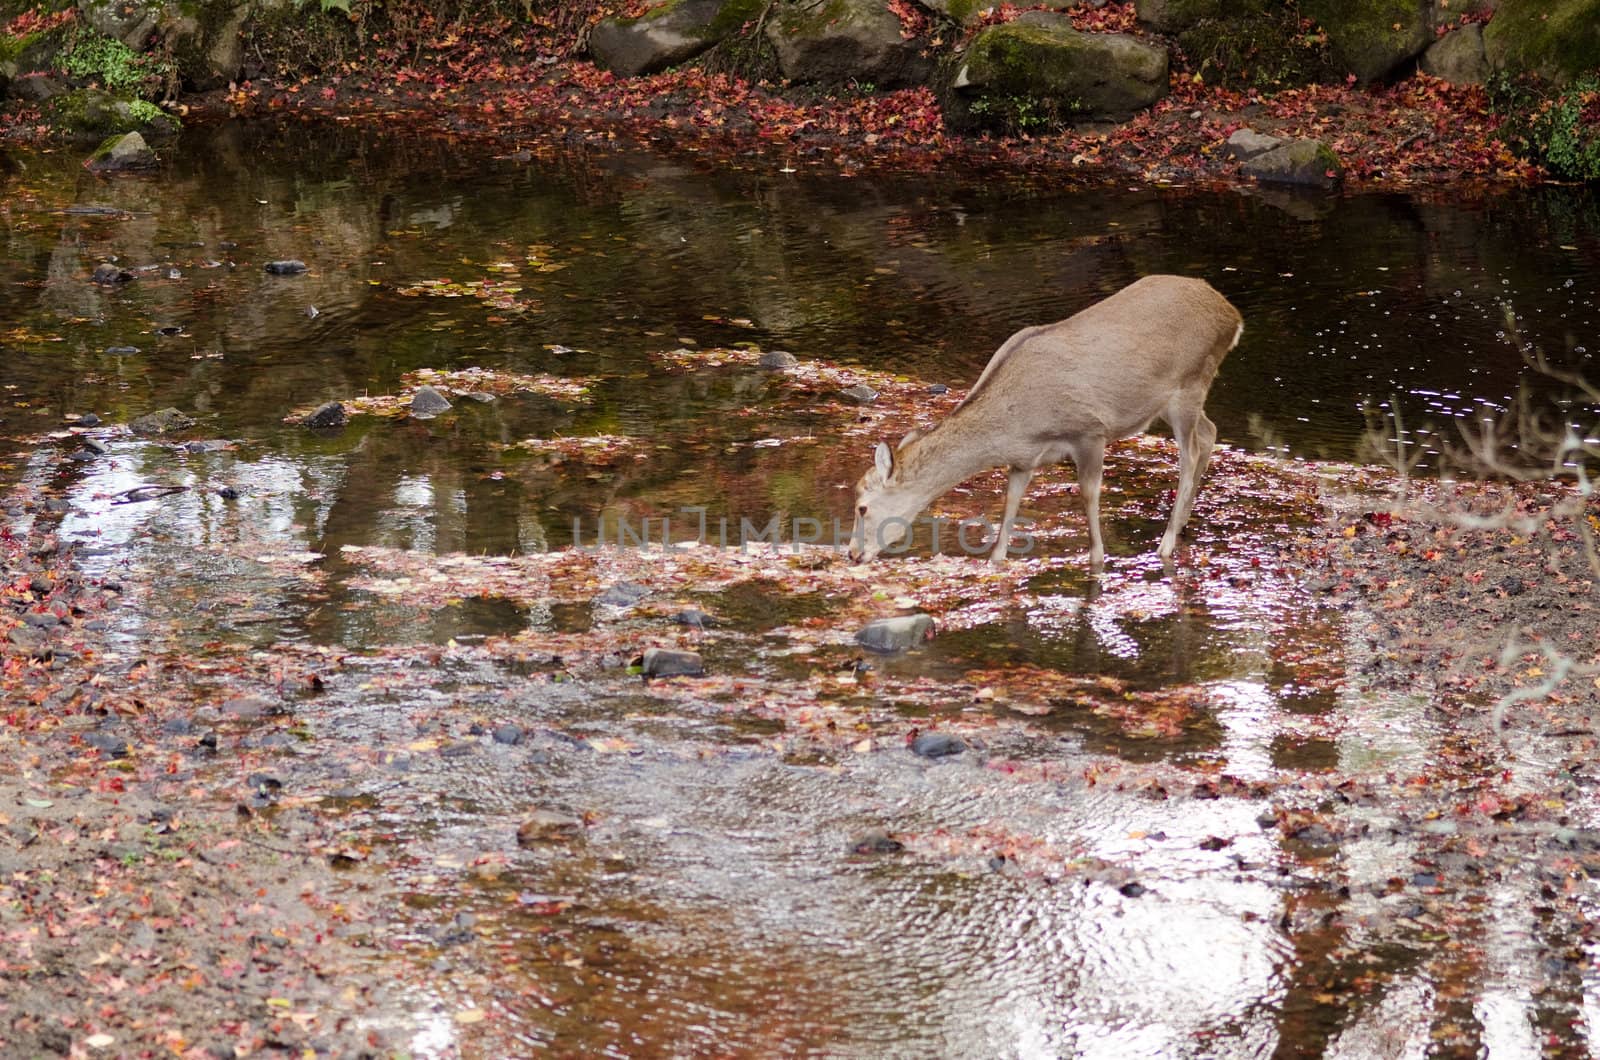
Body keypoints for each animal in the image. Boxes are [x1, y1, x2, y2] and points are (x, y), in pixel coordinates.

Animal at [844, 278, 1241, 570]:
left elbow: (1088, 496)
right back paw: (1184, 522)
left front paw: (1098, 558)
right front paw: (996, 559)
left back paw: (1167, 542)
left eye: (862, 506)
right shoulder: (1023, 460)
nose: (851, 553)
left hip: (1190, 381)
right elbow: (1010, 505)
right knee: (1209, 432)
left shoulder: (1090, 430)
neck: (1018, 425)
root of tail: (1232, 315)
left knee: (1190, 454)